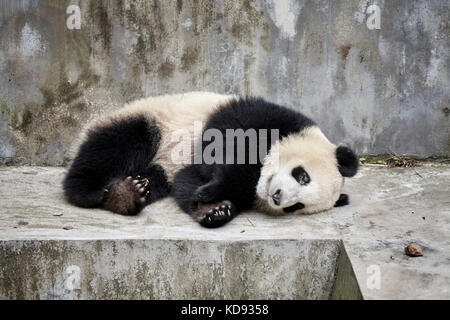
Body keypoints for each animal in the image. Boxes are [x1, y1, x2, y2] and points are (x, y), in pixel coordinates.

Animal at [63, 91, 358, 229]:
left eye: (296, 207)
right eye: (303, 176)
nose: (277, 196)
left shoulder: (188, 171)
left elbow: (188, 182)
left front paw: (215, 209)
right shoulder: (258, 117)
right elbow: (224, 149)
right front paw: (216, 194)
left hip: (162, 165)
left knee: (156, 177)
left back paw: (127, 193)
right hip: (152, 119)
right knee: (115, 145)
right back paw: (90, 191)